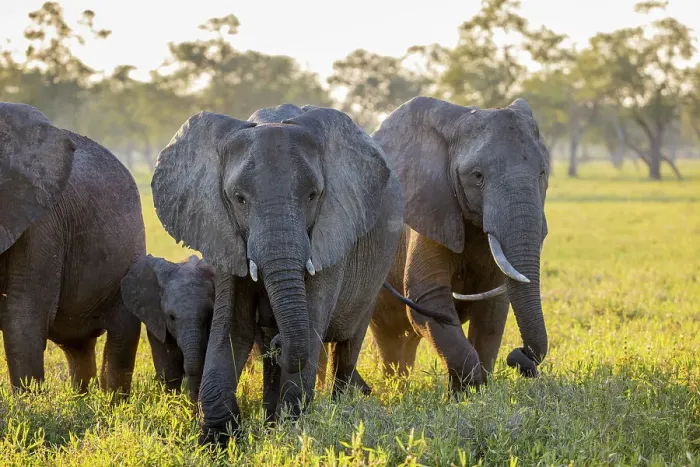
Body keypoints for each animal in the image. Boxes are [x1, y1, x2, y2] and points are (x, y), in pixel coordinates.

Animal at [0, 102, 144, 393]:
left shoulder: (41, 223)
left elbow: (24, 314)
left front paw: (26, 400)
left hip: (131, 255)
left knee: (121, 336)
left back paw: (113, 400)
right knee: (77, 346)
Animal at [150, 103, 403, 444]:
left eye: (313, 196)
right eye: (239, 198)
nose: (279, 341)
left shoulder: (331, 230)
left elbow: (311, 322)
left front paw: (291, 432)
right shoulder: (222, 232)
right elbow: (233, 326)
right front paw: (216, 440)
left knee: (348, 344)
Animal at [368, 96, 550, 392]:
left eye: (543, 173)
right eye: (477, 176)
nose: (519, 356)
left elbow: (492, 312)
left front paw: (477, 393)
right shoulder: (431, 209)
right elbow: (428, 298)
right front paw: (466, 393)